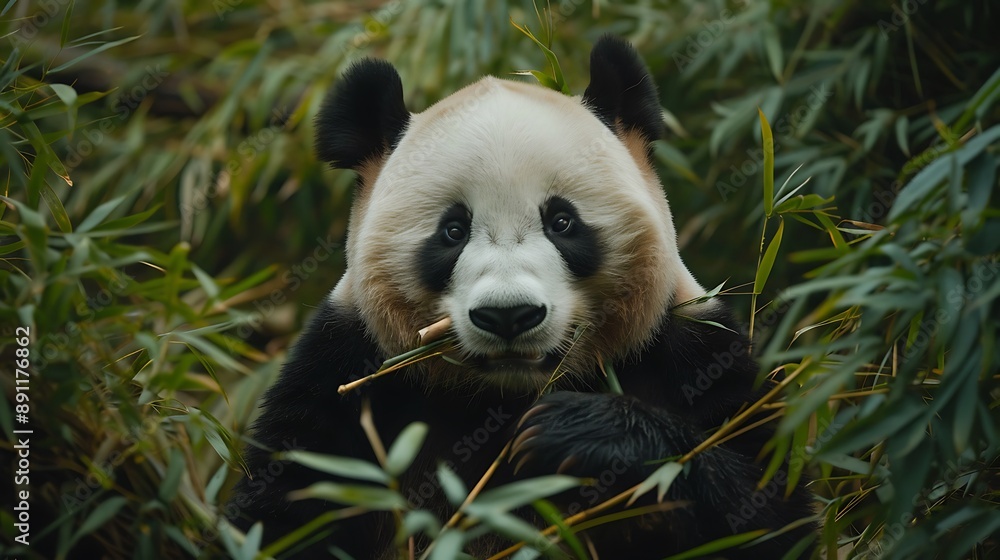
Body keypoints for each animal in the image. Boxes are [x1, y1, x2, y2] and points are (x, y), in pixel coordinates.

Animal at [228, 36, 814, 559]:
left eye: (562, 222)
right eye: (452, 231)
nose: (508, 316)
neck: (506, 395)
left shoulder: (689, 350)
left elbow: (763, 507)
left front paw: (583, 432)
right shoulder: (345, 372)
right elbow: (286, 511)